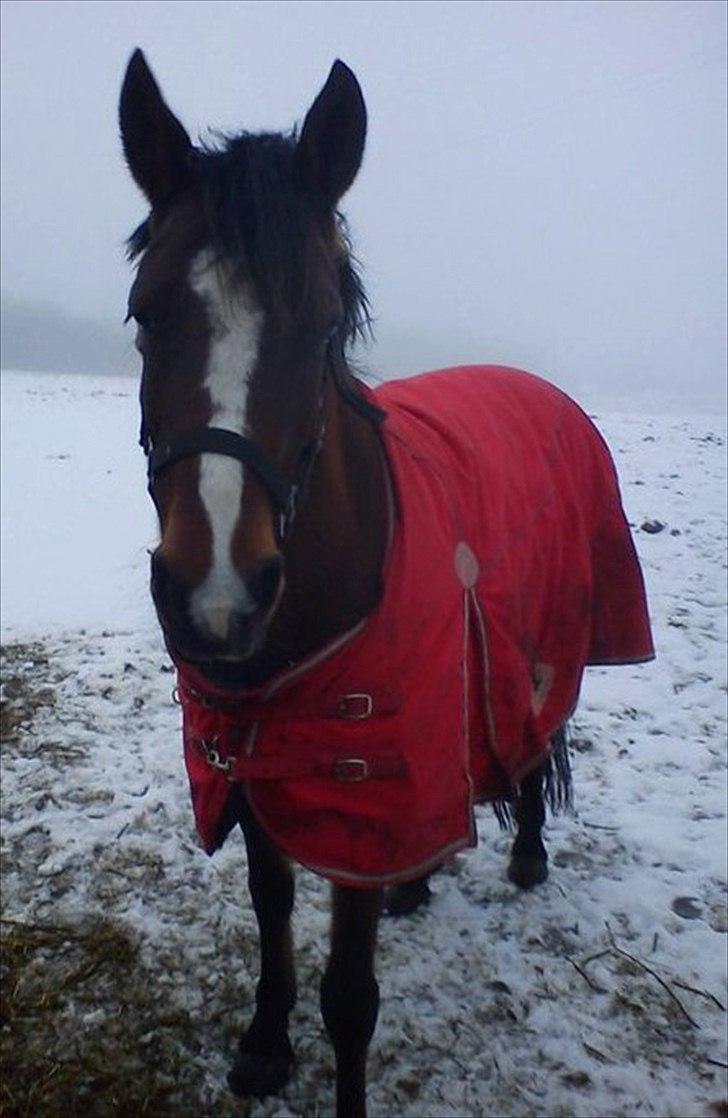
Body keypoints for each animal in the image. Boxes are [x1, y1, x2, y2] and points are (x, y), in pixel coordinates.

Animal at [117, 50, 653, 1118]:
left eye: (325, 323)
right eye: (147, 313)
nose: (217, 592)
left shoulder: (355, 776)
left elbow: (351, 995)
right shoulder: (257, 753)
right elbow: (272, 901)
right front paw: (264, 1043)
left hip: (548, 636)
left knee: (535, 735)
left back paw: (527, 855)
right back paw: (420, 881)